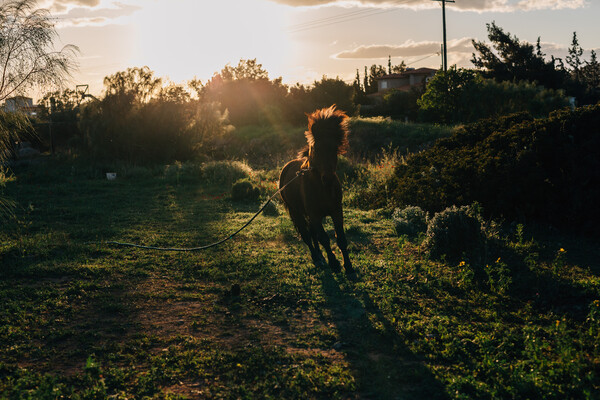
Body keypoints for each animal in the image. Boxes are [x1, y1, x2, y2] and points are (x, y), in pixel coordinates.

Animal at [278, 105, 354, 276]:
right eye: (316, 148)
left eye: (334, 148)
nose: (328, 179)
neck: (322, 188)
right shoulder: (315, 215)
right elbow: (324, 238)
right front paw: (334, 264)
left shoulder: (336, 211)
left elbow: (340, 238)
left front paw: (348, 267)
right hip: (296, 212)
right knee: (306, 235)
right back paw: (317, 258)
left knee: (312, 234)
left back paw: (320, 256)